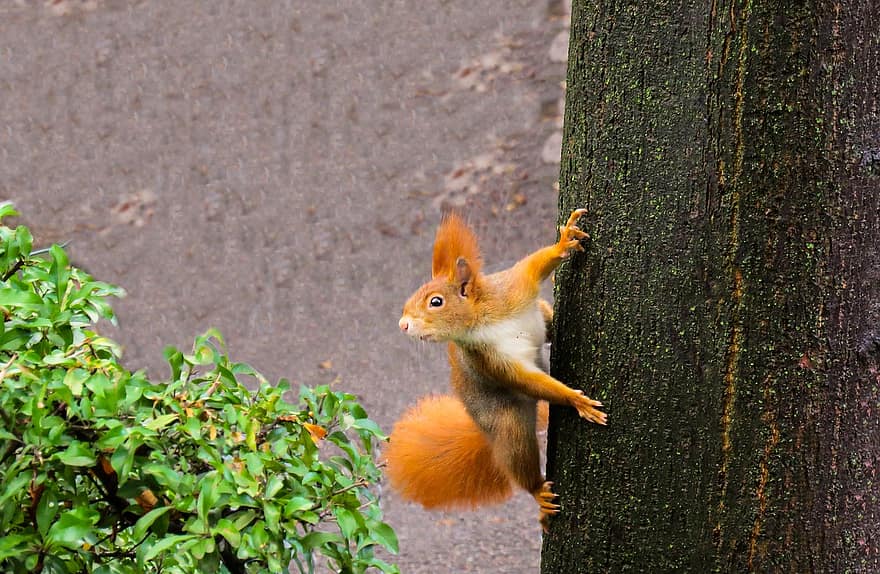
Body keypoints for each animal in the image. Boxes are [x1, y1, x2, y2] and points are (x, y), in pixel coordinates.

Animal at [388, 210, 608, 532]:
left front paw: (564, 241)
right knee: (519, 459)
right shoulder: (489, 360)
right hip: (507, 424)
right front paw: (575, 399)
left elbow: (532, 266)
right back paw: (539, 493)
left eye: (436, 302)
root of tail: (481, 427)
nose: (402, 325)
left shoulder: (512, 289)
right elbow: (525, 380)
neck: (480, 321)